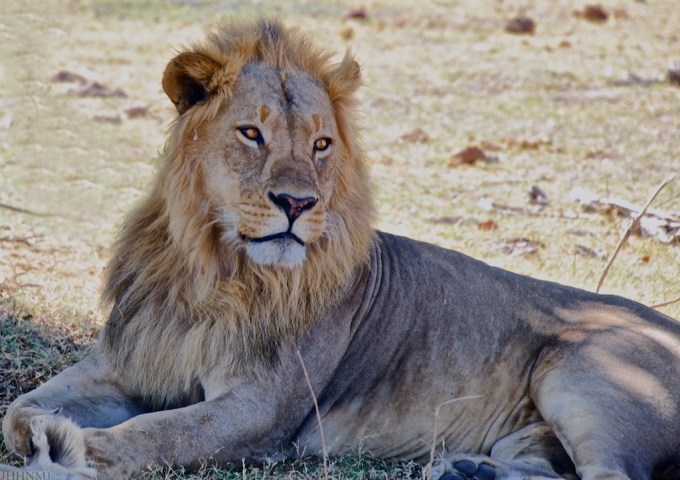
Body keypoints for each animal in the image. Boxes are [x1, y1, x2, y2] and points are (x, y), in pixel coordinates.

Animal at [2, 18, 680, 480]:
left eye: (321, 144)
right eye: (251, 133)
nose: (297, 203)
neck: (212, 271)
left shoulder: (259, 411)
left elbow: (154, 433)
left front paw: (69, 449)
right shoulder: (121, 364)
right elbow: (19, 409)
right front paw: (40, 431)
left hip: (579, 371)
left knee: (610, 476)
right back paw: (470, 469)